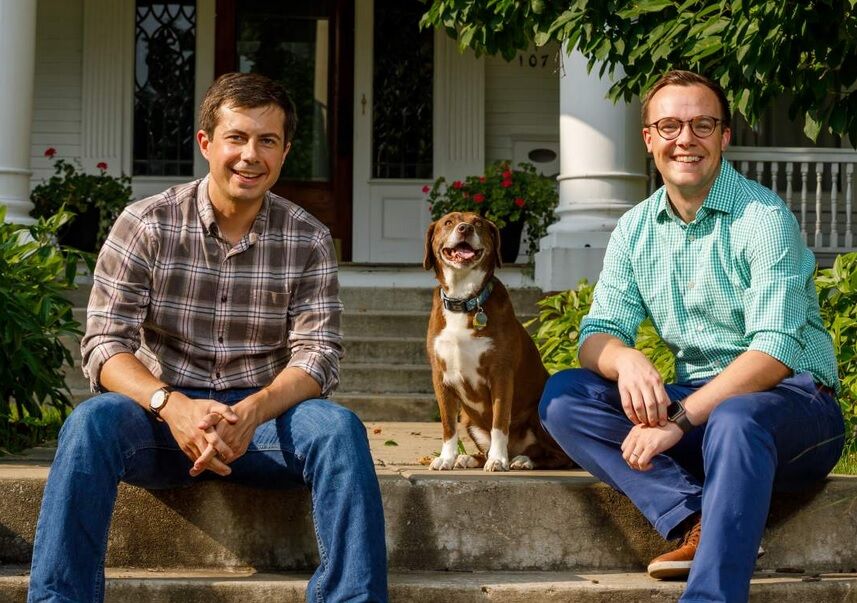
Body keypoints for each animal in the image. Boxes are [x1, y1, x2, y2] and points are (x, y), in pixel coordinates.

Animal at [422, 212, 568, 472]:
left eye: (478, 222)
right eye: (448, 222)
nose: (465, 228)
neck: (464, 299)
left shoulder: (501, 374)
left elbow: (499, 423)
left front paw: (498, 460)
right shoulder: (441, 376)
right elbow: (448, 426)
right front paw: (446, 458)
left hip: (539, 412)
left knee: (559, 456)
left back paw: (522, 460)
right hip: (469, 420)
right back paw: (469, 458)